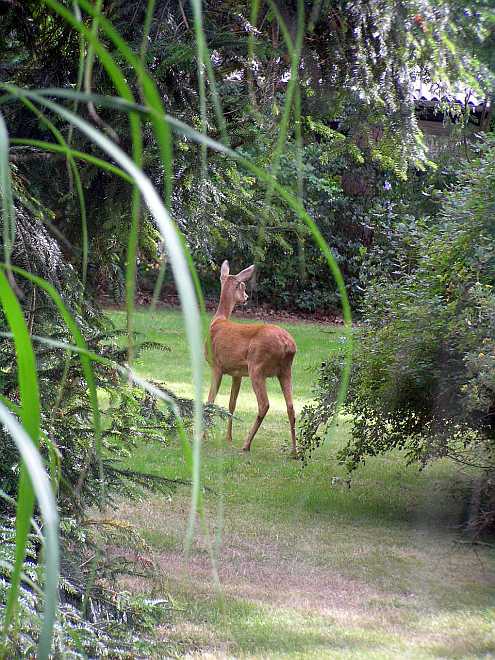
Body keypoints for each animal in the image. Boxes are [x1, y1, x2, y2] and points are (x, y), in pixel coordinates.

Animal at [206, 260, 298, 456]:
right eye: (242, 286)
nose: (247, 297)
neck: (218, 321)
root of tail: (287, 344)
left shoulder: (216, 366)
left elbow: (210, 400)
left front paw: (202, 435)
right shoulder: (237, 373)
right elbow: (231, 403)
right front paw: (228, 437)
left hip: (257, 367)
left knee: (264, 404)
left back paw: (246, 444)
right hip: (285, 370)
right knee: (291, 407)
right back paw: (294, 452)